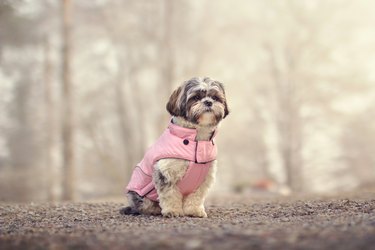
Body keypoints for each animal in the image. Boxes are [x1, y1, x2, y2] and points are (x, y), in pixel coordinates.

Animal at [121, 76, 229, 217]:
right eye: (196, 97)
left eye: (215, 97)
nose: (208, 102)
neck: (196, 139)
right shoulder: (165, 172)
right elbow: (170, 194)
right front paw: (172, 211)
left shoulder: (203, 178)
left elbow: (195, 197)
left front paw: (194, 210)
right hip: (140, 196)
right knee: (144, 206)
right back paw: (154, 209)